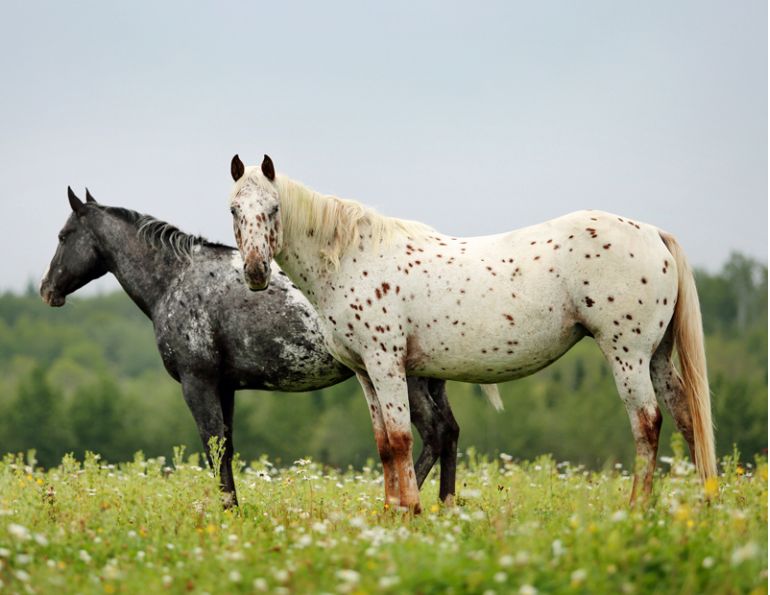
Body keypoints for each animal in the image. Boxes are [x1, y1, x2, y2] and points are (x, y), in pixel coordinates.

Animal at [40, 188, 466, 507]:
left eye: (63, 236)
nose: (47, 290)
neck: (175, 280)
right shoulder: (224, 386)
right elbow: (225, 447)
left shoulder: (198, 383)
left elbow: (213, 446)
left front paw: (227, 510)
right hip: (431, 380)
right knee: (449, 432)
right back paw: (445, 506)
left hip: (404, 379)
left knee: (434, 433)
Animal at [227, 153, 716, 513]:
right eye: (234, 208)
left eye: (273, 208)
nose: (255, 271)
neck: (351, 258)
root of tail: (653, 233)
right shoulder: (366, 373)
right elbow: (384, 444)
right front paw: (390, 512)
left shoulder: (387, 365)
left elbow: (401, 439)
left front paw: (410, 512)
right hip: (655, 355)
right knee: (685, 416)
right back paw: (703, 505)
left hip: (627, 353)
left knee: (647, 422)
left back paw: (638, 508)